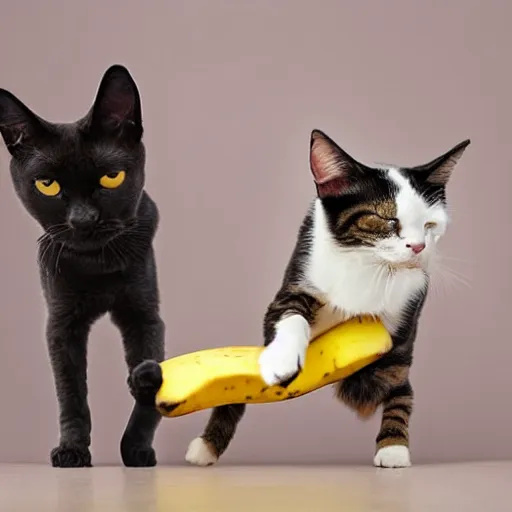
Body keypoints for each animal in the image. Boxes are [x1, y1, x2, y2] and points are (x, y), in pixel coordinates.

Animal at [0, 65, 165, 468]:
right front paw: (72, 450)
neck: (97, 266)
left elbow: (148, 386)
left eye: (111, 177)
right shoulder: (61, 324)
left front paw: (136, 447)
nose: (83, 220)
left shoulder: (145, 314)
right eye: (47, 185)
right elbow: (71, 392)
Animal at [183, 129, 468, 468]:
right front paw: (281, 359)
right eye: (386, 220)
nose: (419, 247)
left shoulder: (407, 313)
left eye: (430, 224)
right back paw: (206, 447)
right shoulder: (298, 277)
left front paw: (393, 444)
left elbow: (396, 378)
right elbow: (289, 316)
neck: (365, 262)